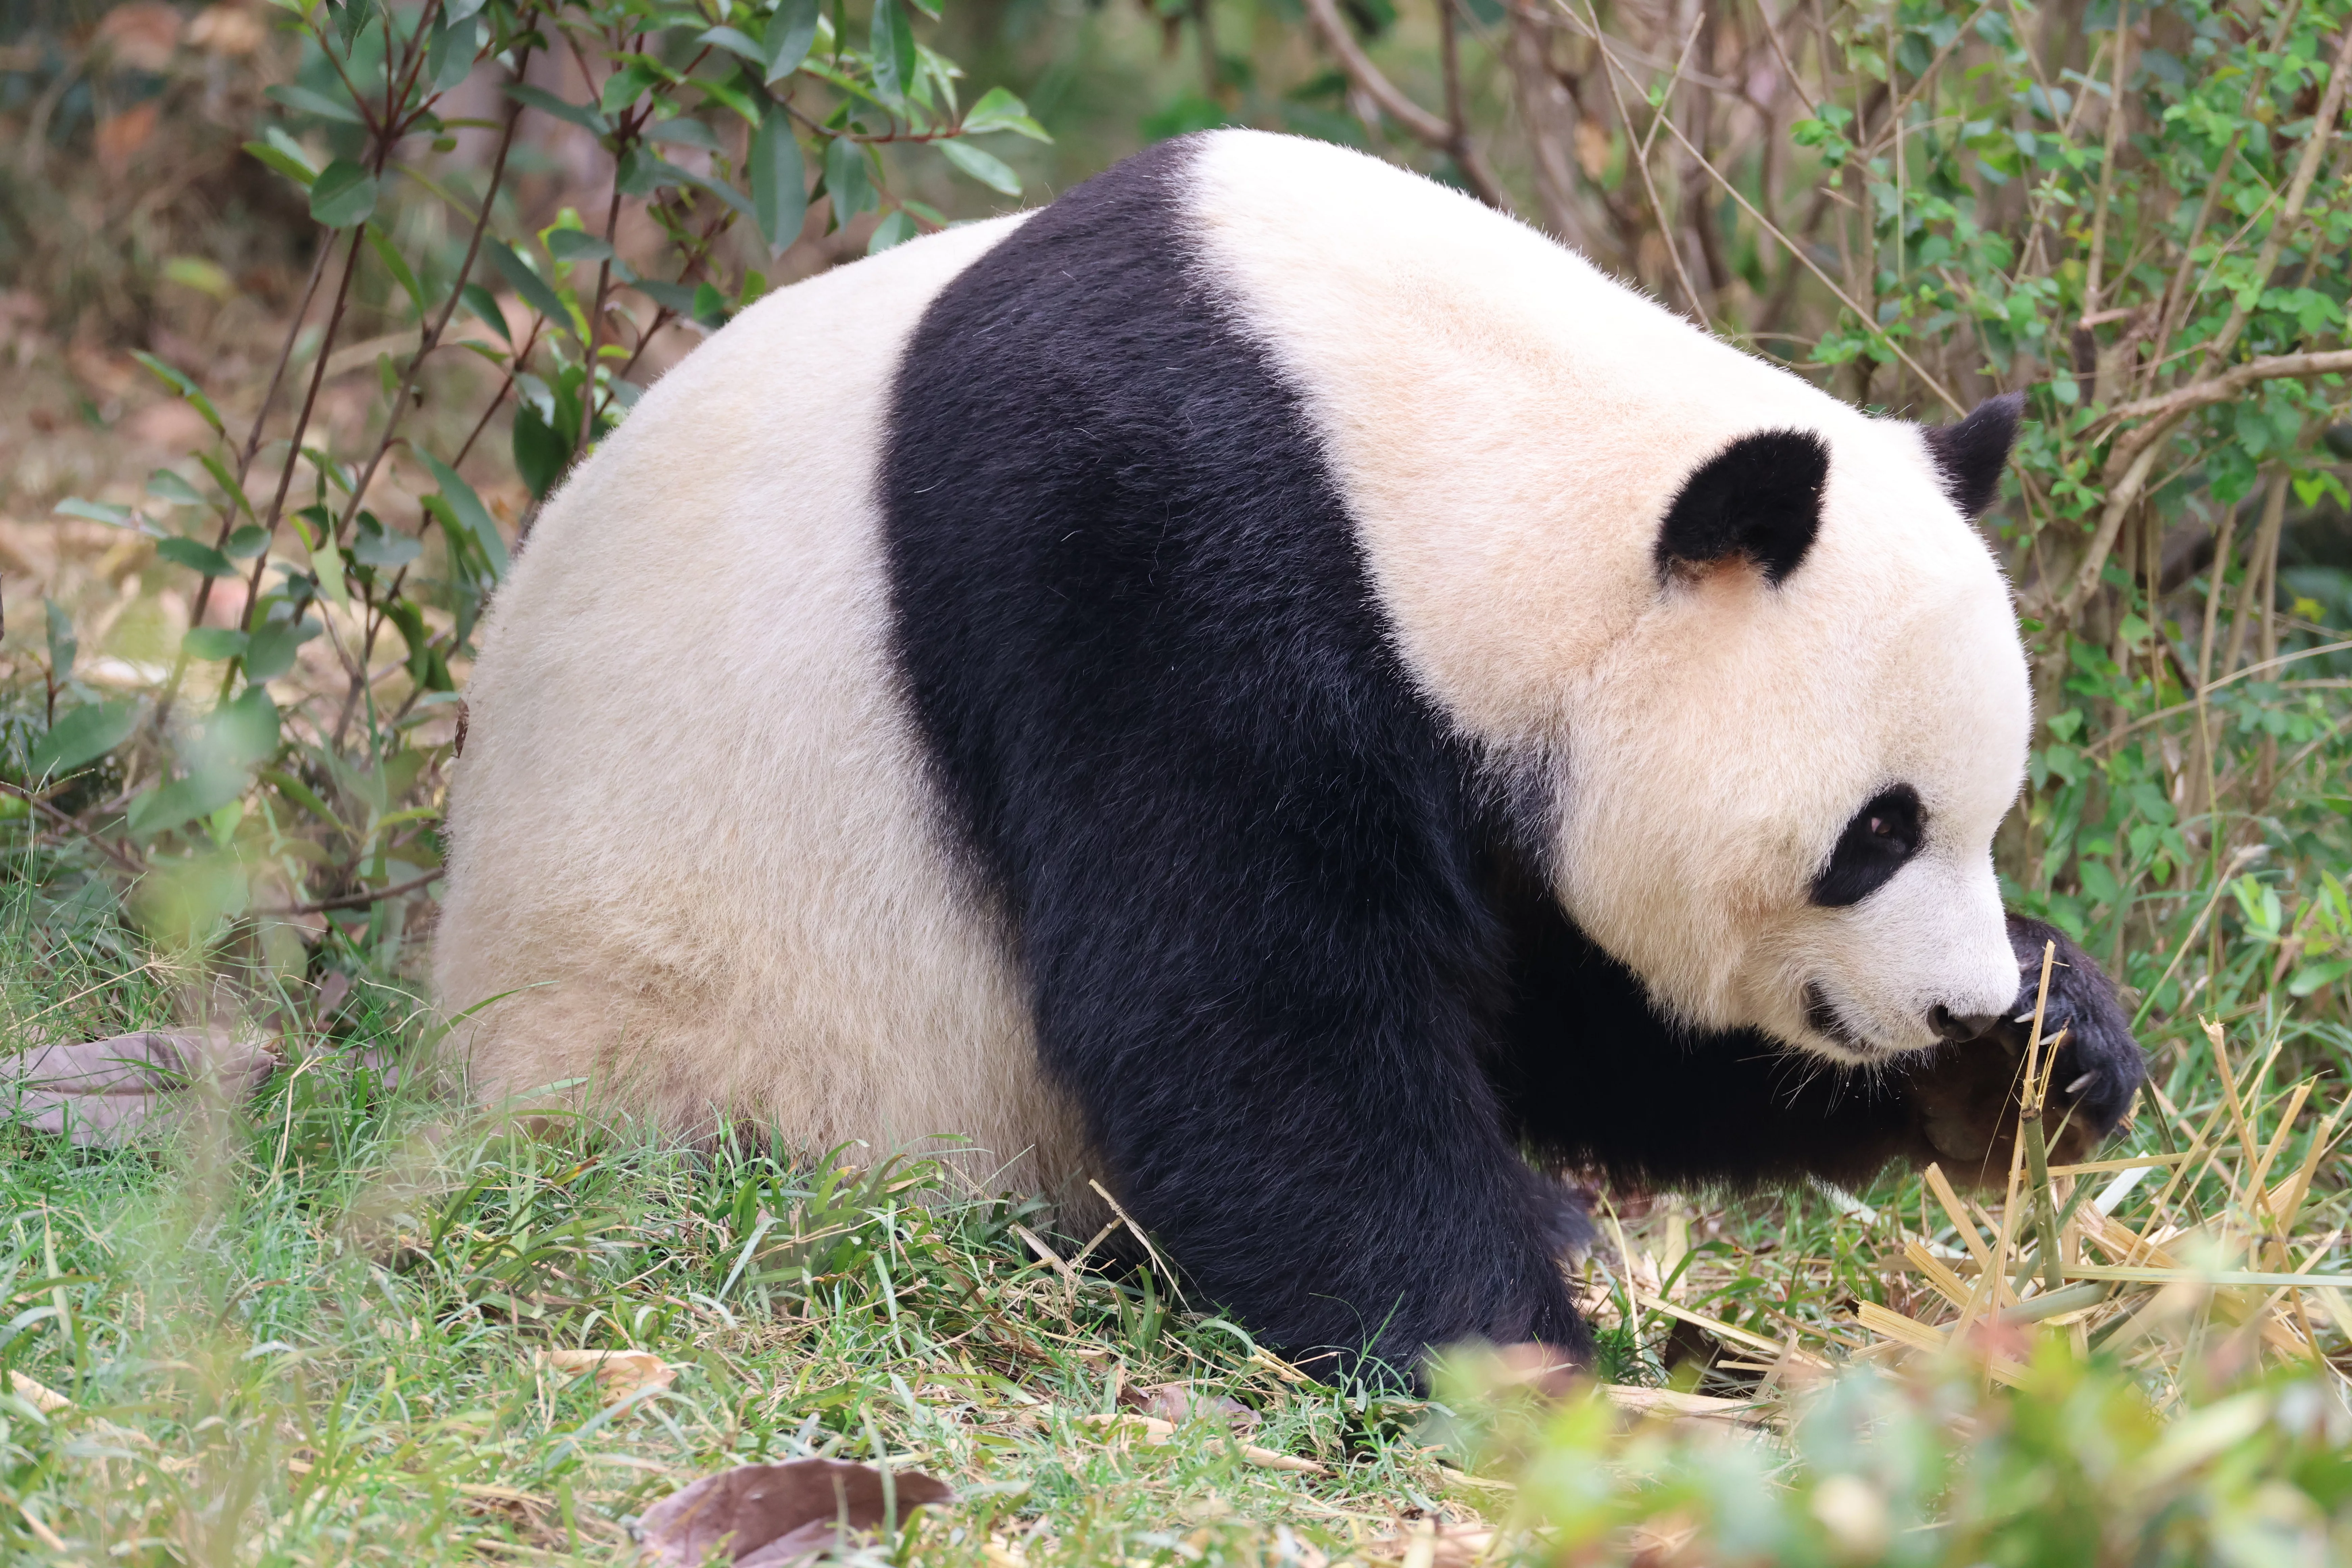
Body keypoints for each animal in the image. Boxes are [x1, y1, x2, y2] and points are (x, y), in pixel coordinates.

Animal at [434, 130, 2145, 1381]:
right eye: (1874, 832)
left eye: (1983, 816)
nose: (1957, 1003)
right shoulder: (1154, 553)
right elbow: (1251, 1017)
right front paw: (1514, 1358)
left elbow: (1563, 1015)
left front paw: (2044, 1055)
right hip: (718, 1044)